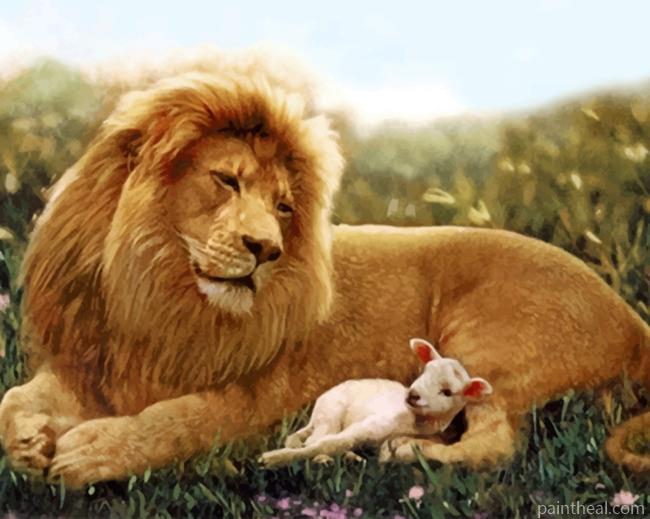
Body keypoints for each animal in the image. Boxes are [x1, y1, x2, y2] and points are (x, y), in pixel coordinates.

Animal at [259, 338, 492, 467]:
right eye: (425, 371)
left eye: (447, 392)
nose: (413, 395)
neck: (412, 421)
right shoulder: (369, 424)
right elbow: (329, 443)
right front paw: (272, 459)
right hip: (331, 412)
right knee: (316, 438)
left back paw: (348, 458)